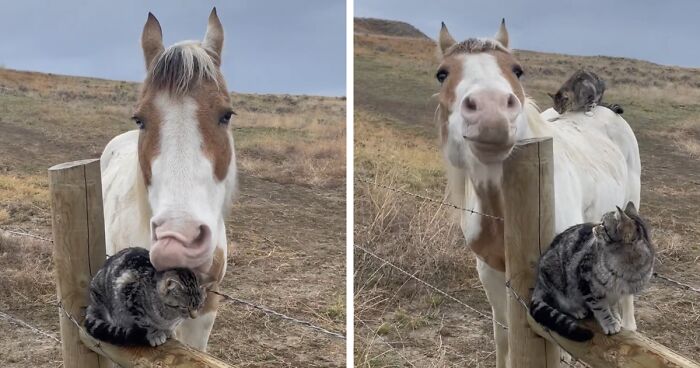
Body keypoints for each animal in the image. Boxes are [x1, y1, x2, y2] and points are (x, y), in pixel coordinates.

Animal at [532, 203, 656, 340]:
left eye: (603, 224)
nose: (594, 227)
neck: (627, 267)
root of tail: (539, 281)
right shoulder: (585, 279)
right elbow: (600, 307)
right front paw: (609, 322)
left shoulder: (619, 293)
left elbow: (612, 305)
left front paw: (615, 316)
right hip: (557, 280)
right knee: (560, 301)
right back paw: (576, 310)